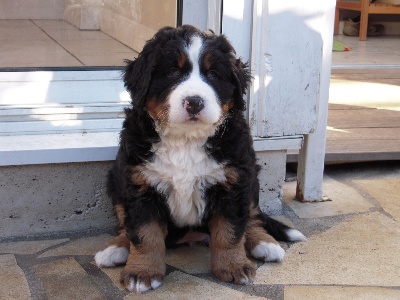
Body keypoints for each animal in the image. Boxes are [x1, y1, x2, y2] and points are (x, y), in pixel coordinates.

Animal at [94, 25, 306, 292]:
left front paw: (233, 266)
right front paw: (142, 272)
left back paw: (265, 244)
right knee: (124, 225)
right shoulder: (140, 186)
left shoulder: (233, 183)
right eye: (172, 72)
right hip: (116, 179)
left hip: (252, 180)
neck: (186, 140)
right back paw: (115, 249)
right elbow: (144, 234)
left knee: (253, 217)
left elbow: (230, 232)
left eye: (213, 74)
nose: (194, 102)